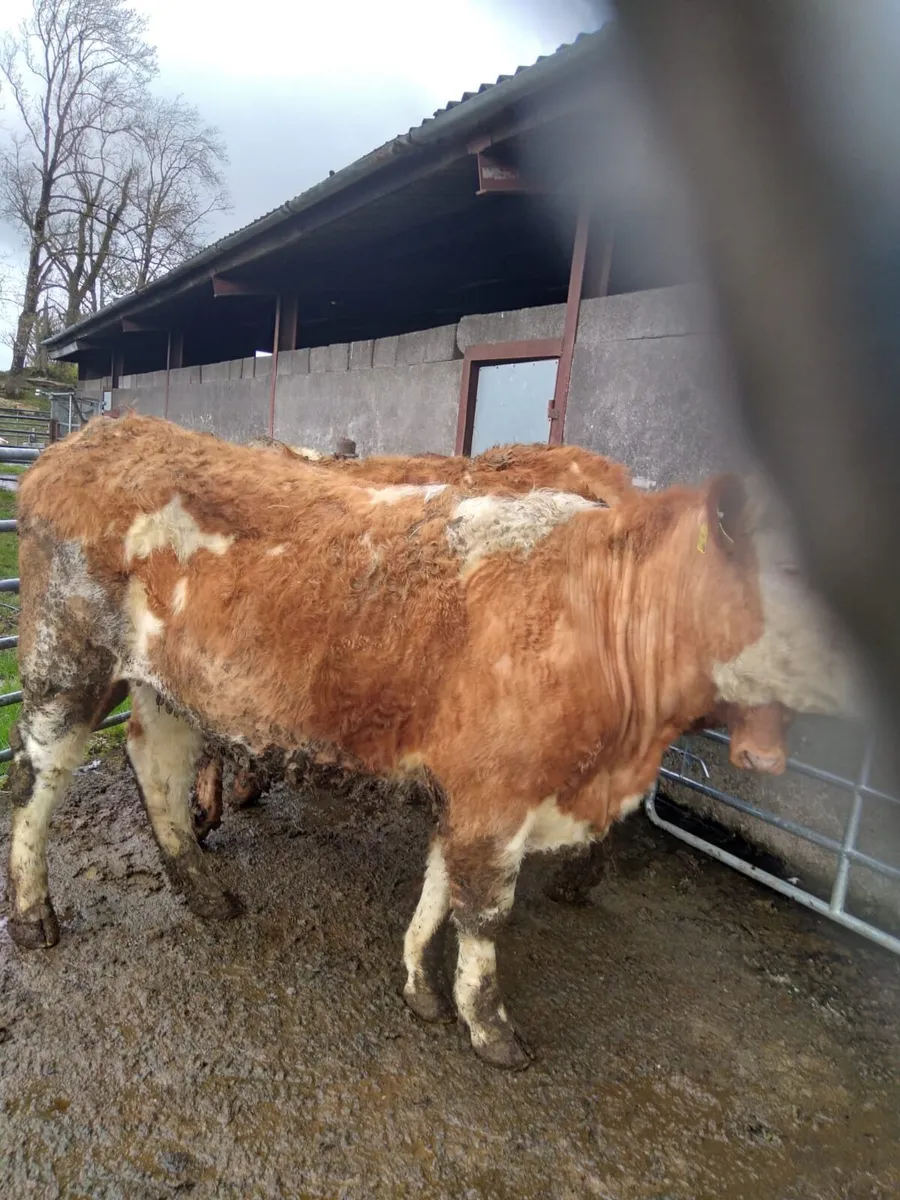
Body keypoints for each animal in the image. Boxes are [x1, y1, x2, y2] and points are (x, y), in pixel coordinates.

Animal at [6, 414, 857, 1069]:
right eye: (793, 567)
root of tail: (100, 431)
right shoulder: (499, 790)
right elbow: (482, 910)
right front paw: (490, 1027)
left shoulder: (477, 788)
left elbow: (441, 881)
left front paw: (418, 983)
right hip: (65, 662)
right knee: (37, 779)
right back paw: (32, 912)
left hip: (169, 682)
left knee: (156, 761)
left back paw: (203, 888)